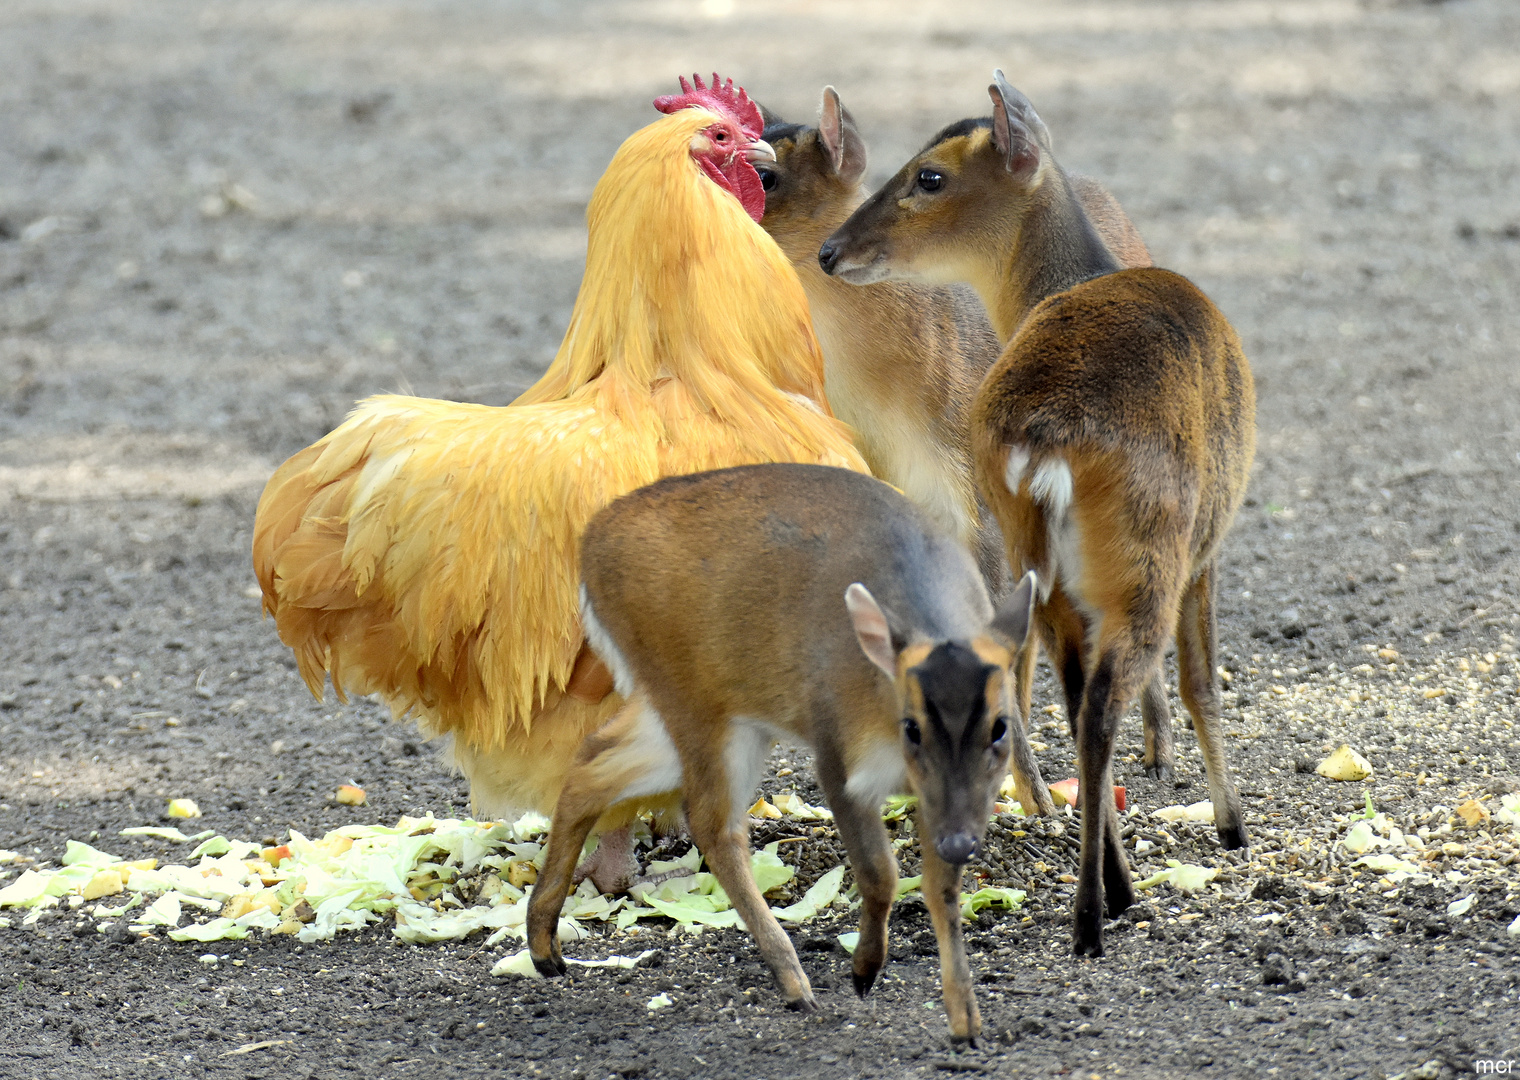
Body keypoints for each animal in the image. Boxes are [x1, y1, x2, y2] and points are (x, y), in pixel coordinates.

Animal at [528, 461, 1039, 1038]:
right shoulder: (837, 754)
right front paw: (864, 971)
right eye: (912, 727)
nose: (959, 842)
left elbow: (940, 888)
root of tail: (590, 541)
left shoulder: (953, 799)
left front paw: (965, 1017)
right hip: (695, 699)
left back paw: (544, 945)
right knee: (711, 822)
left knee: (591, 764)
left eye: (1000, 728)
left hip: (701, 707)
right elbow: (879, 872)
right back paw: (793, 979)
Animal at [820, 71, 1258, 960]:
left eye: (929, 176)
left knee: (1068, 689)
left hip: (1041, 560)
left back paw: (1109, 881)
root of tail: (1046, 442)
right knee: (1100, 709)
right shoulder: (1210, 544)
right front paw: (1232, 827)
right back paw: (1094, 914)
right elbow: (1203, 683)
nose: (831, 250)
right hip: (1148, 552)